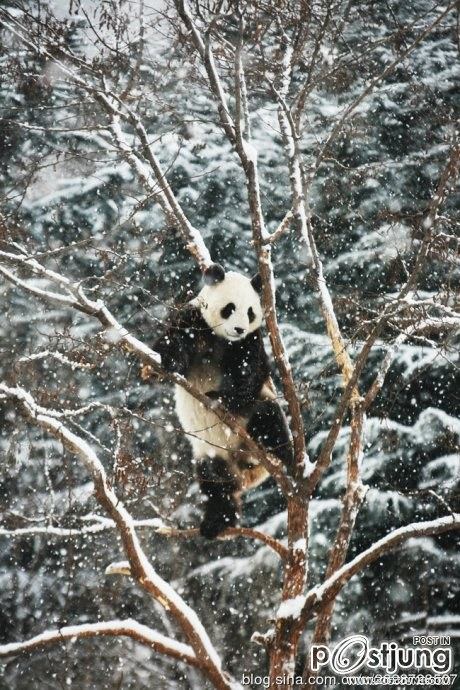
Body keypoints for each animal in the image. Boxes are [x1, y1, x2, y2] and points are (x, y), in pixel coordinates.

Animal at [153, 263, 293, 538]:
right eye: (230, 308)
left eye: (250, 312)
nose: (238, 329)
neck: (220, 337)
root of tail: (248, 468)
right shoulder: (194, 320)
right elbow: (173, 343)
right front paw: (161, 364)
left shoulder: (250, 341)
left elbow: (252, 372)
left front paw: (218, 398)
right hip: (210, 453)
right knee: (217, 485)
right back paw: (216, 522)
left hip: (253, 419)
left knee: (269, 417)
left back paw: (287, 459)